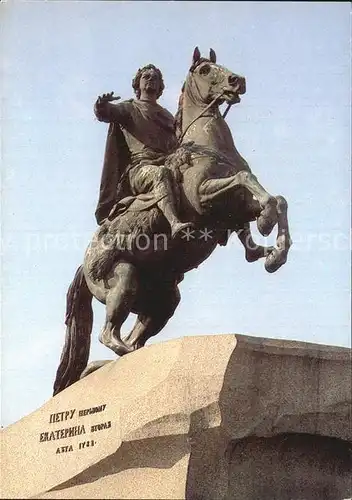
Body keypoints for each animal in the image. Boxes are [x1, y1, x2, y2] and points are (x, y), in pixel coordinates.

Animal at [53, 48, 292, 396]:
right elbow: (245, 180)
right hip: (122, 277)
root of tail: (83, 267)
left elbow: (275, 199)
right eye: (205, 70)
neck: (207, 145)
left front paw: (273, 251)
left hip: (163, 301)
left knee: (133, 336)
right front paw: (265, 226)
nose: (237, 81)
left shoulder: (233, 208)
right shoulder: (204, 199)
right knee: (109, 334)